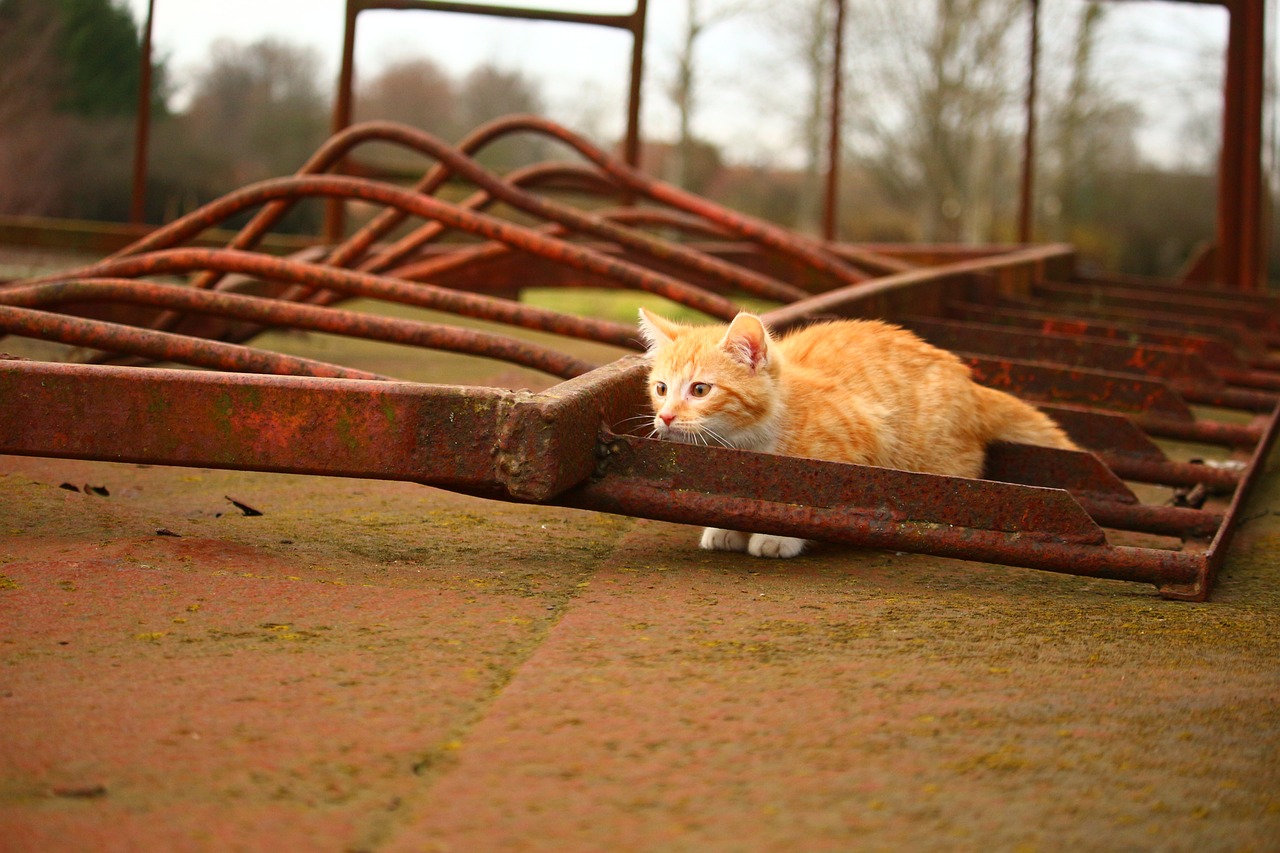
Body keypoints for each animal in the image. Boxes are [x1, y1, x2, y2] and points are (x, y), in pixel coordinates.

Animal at [634, 306, 1075, 558]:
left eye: (700, 390)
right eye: (661, 389)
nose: (666, 417)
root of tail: (971, 384)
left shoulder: (860, 440)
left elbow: (817, 502)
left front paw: (778, 538)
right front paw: (725, 527)